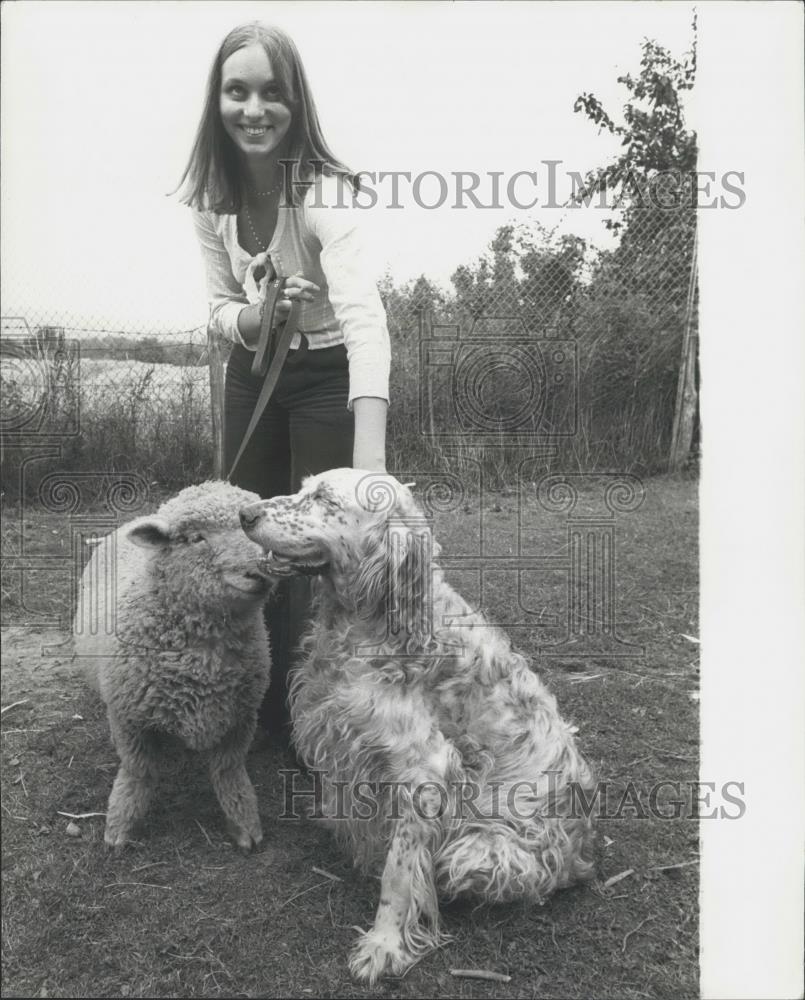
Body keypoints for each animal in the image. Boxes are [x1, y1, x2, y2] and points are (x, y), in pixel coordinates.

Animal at [74, 482, 274, 852]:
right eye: (195, 538)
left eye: (252, 529)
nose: (258, 572)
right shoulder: (130, 718)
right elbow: (138, 772)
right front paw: (120, 827)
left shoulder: (241, 716)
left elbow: (229, 772)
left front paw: (243, 823)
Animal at [239, 470, 592, 984]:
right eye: (303, 488)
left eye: (325, 500)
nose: (243, 513)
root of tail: (584, 856)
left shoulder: (425, 772)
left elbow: (399, 871)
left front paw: (384, 945)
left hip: (477, 854)